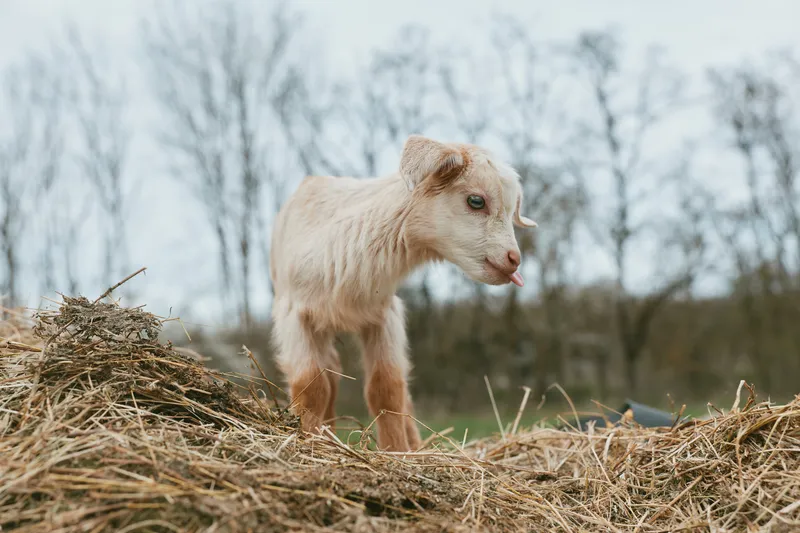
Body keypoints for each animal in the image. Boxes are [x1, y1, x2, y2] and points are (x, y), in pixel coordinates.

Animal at [269, 134, 537, 451]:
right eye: (476, 201)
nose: (513, 259)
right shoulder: (294, 315)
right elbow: (312, 387)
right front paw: (310, 441)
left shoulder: (384, 314)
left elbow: (386, 388)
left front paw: (397, 450)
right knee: (331, 376)